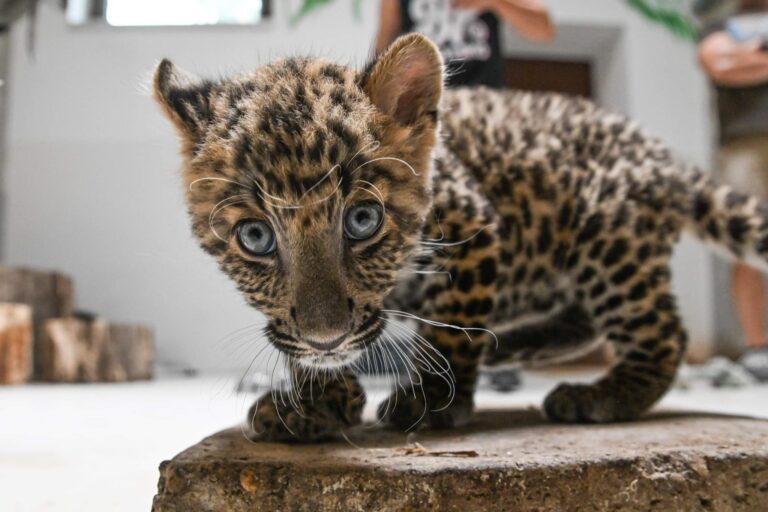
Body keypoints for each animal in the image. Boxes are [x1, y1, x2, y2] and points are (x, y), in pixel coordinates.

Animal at [154, 33, 768, 442]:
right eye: (255, 236)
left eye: (362, 222)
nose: (327, 339)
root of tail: (667, 158)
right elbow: (297, 338)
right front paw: (317, 404)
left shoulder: (475, 229)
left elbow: (454, 329)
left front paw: (430, 401)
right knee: (583, 320)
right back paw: (515, 347)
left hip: (606, 236)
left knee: (661, 333)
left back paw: (600, 394)